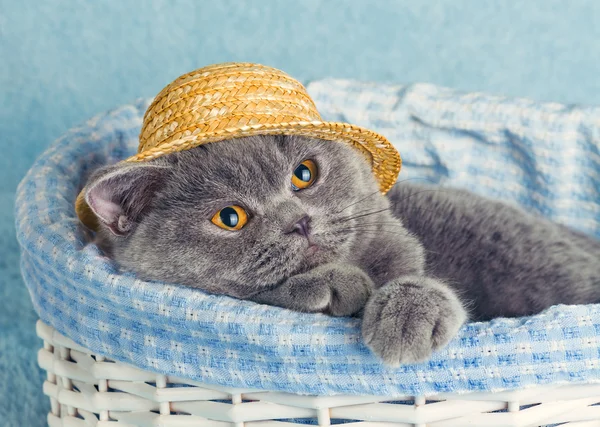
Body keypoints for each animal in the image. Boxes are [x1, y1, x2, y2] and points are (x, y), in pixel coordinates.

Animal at [82, 135, 600, 366]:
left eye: (303, 174)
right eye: (229, 218)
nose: (299, 221)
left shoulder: (400, 243)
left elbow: (411, 274)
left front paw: (408, 314)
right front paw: (338, 285)